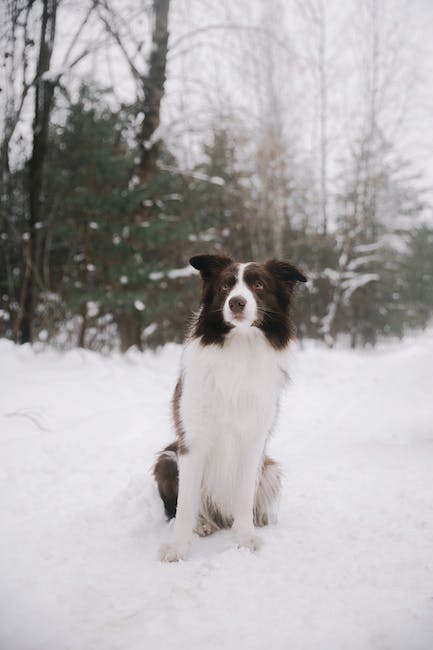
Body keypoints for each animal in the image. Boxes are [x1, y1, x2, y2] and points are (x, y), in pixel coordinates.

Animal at [154, 252, 306, 556]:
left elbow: (244, 496)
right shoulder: (192, 440)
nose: (236, 302)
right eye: (225, 286)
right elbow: (185, 504)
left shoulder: (253, 440)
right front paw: (177, 547)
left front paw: (245, 537)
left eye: (258, 285)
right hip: (167, 459)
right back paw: (202, 524)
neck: (240, 345)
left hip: (270, 469)